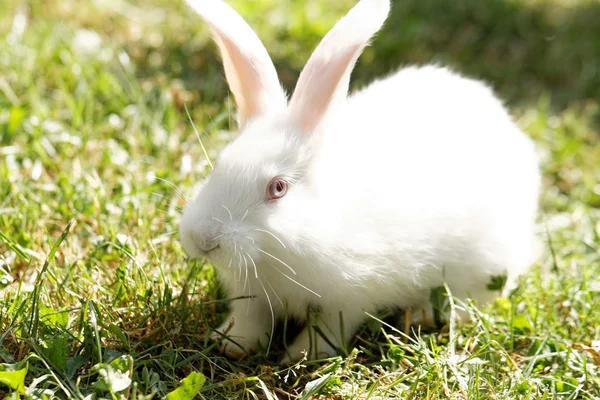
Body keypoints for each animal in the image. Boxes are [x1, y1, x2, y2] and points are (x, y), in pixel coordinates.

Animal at [178, 0, 540, 364]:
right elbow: (250, 318)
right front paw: (231, 343)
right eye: (218, 165)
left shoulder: (348, 296)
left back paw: (425, 315)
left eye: (278, 188)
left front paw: (302, 356)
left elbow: (327, 328)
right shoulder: (251, 294)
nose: (204, 240)